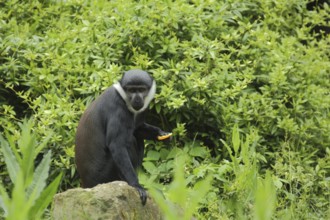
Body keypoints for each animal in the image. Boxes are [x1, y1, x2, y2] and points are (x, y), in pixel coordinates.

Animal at [75, 69, 173, 205]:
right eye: (131, 90)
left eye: (141, 90)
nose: (137, 99)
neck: (124, 98)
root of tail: (87, 185)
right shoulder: (117, 108)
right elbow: (117, 145)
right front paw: (136, 185)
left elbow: (138, 128)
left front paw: (161, 134)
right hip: (104, 176)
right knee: (130, 140)